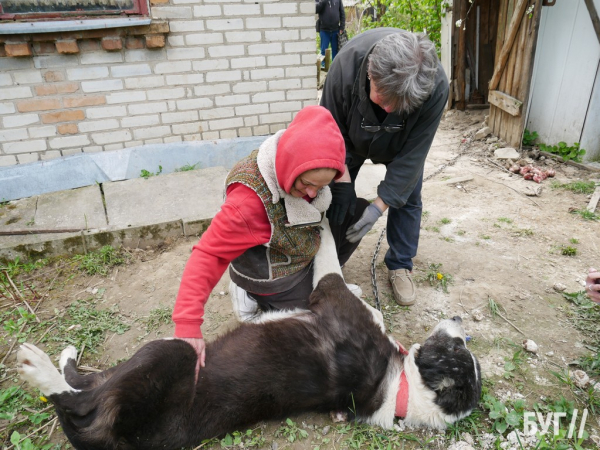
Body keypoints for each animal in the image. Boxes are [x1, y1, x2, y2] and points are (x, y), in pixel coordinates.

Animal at [16, 220, 480, 448]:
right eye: (458, 345)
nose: (459, 319)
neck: (400, 389)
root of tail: (124, 440)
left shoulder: (329, 293)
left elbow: (328, 252)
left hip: (168, 354)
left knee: (78, 399)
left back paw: (38, 366)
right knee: (88, 383)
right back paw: (64, 356)